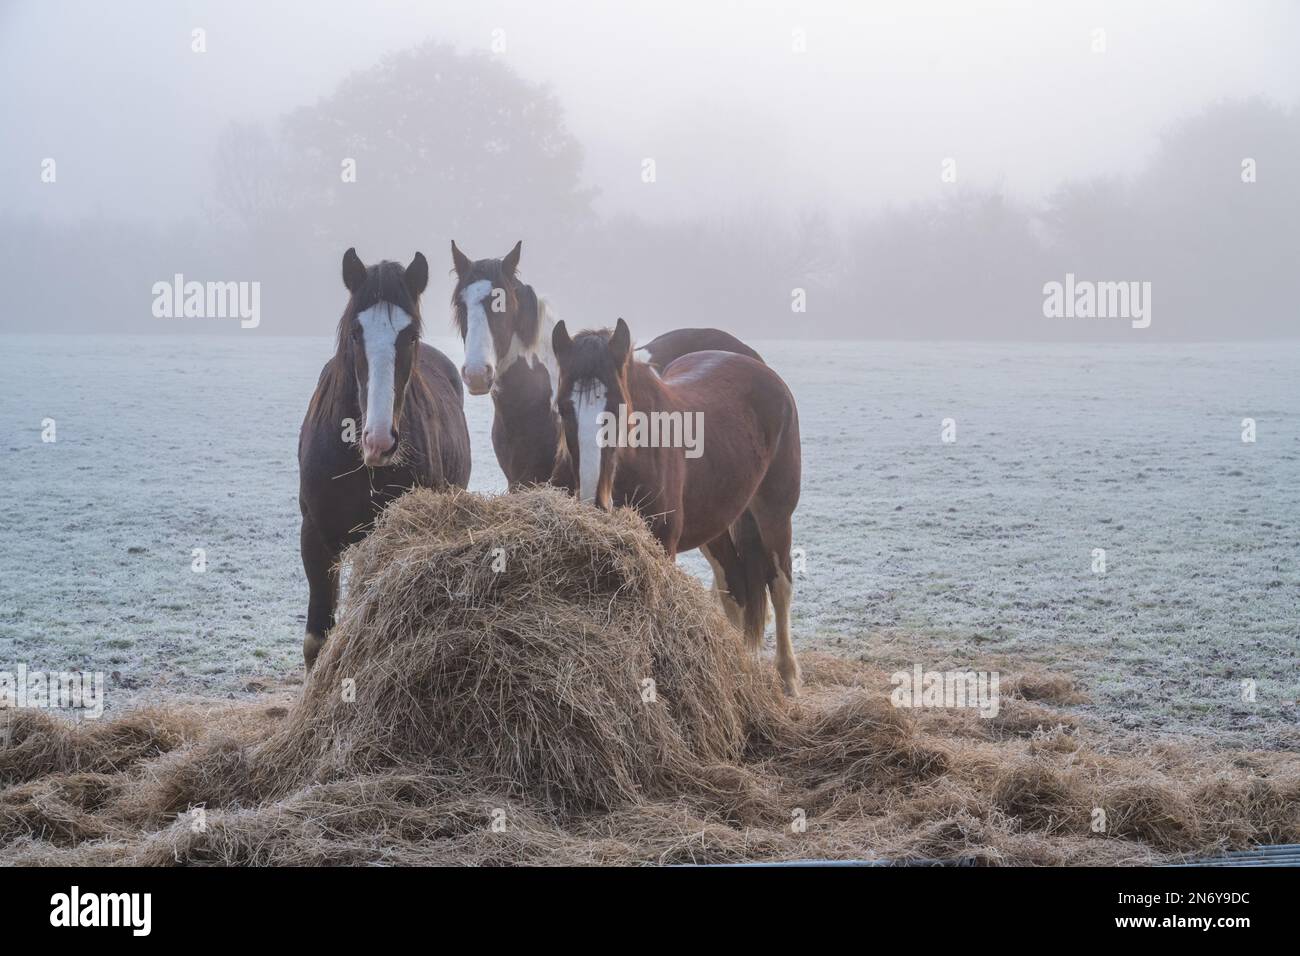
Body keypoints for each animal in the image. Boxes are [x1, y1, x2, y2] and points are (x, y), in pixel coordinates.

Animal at [550, 318, 803, 695]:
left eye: (618, 406)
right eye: (564, 408)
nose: (594, 502)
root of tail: (760, 368)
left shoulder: (663, 547)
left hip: (774, 513)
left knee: (780, 584)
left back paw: (787, 678)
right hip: (715, 522)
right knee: (734, 587)